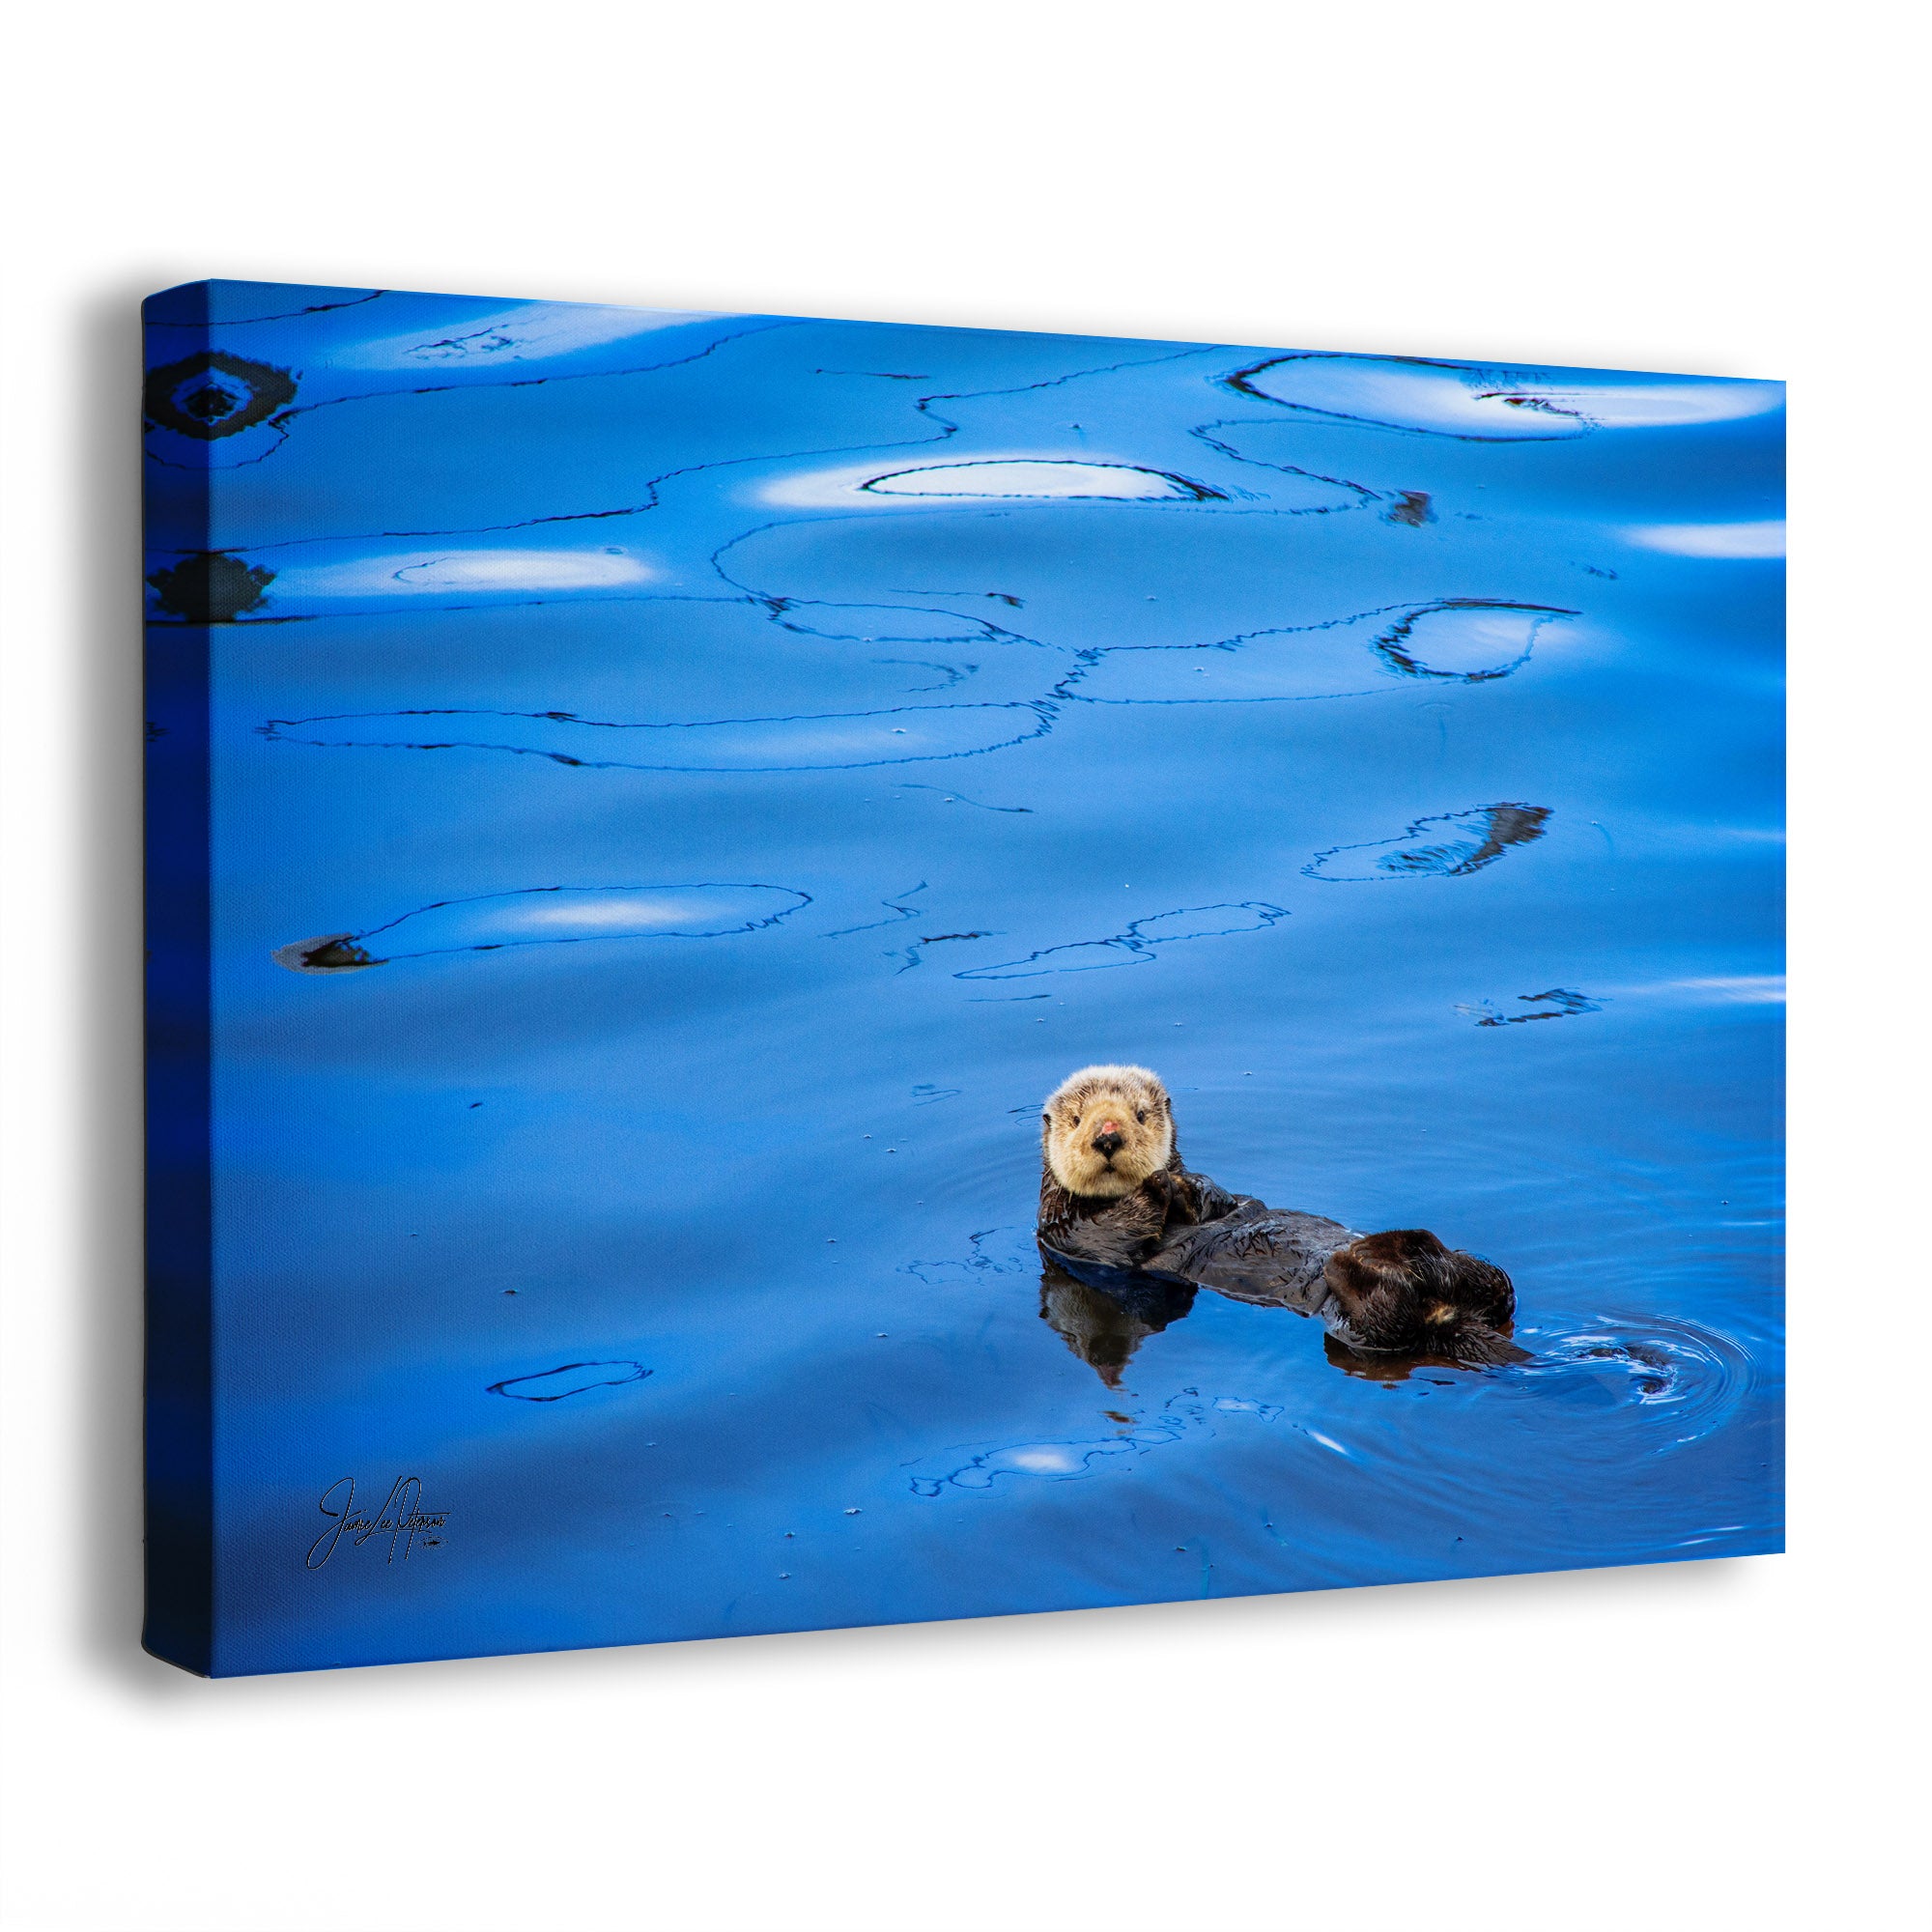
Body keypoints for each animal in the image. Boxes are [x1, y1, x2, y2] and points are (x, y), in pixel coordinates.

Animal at [1036, 1063, 1526, 1367]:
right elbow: (1113, 1234)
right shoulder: (1065, 1233)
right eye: (1077, 1120)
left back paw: (1399, 1245)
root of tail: (1444, 1316)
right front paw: (1157, 1185)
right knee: (1387, 1312)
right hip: (1362, 1328)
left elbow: (1222, 1199)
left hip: (1464, 1286)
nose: (1108, 1136)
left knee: (1495, 1284)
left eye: (1140, 1114)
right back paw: (1362, 1260)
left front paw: (1191, 1186)